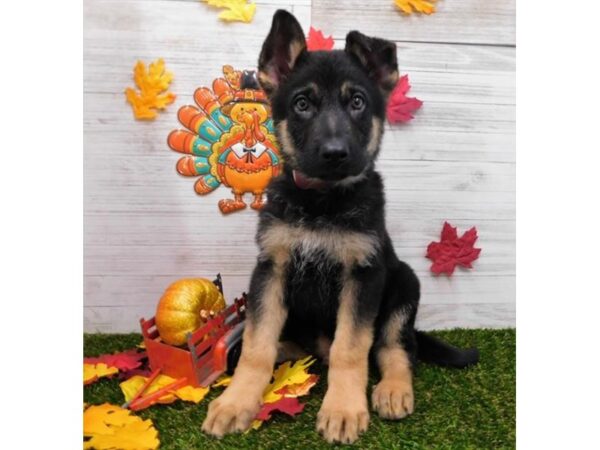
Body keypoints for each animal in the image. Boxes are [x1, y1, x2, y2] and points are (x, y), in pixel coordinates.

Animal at [202, 9, 478, 442]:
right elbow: (256, 344)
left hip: (405, 282)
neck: (322, 201)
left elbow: (352, 348)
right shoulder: (271, 268)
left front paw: (344, 409)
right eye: (301, 104)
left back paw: (392, 389)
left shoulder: (363, 274)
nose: (334, 154)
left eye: (358, 102)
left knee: (395, 348)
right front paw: (236, 401)